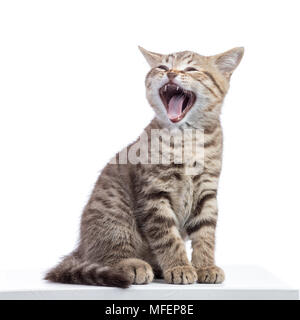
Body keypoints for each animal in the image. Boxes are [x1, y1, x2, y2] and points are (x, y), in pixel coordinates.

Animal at [46, 47, 244, 288]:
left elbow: (205, 233)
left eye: (191, 69)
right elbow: (168, 237)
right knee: (108, 256)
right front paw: (179, 266)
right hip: (115, 215)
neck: (187, 138)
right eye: (163, 67)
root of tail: (81, 248)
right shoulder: (154, 192)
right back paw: (134, 265)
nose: (171, 73)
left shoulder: (207, 191)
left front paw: (205, 265)